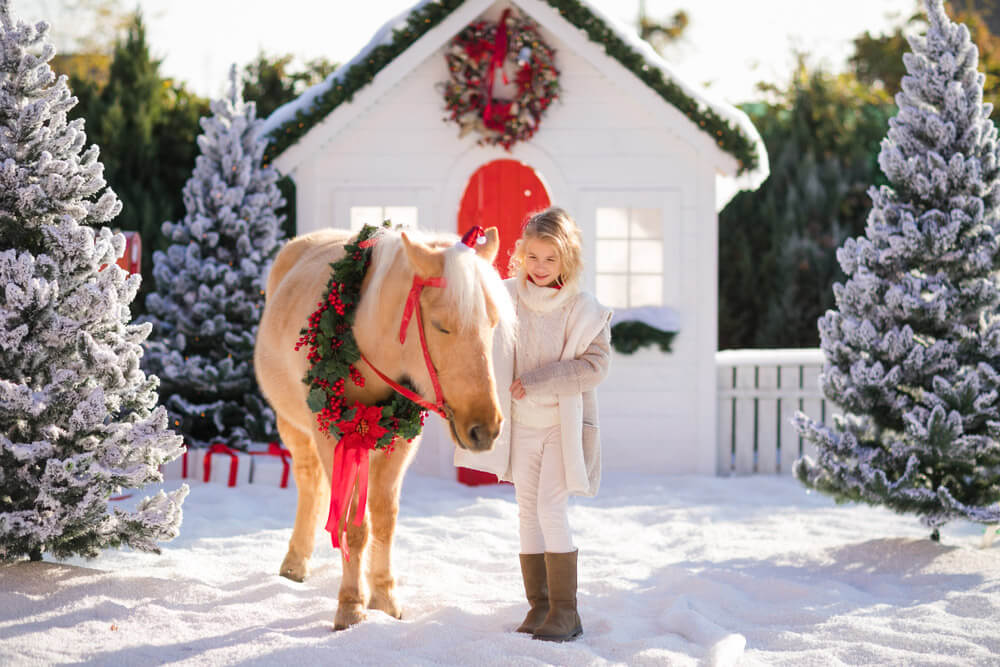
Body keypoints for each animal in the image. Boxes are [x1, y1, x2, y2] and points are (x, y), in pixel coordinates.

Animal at [250, 226, 516, 632]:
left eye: (492, 323)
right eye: (441, 325)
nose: (485, 429)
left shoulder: (401, 442)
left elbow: (384, 520)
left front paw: (385, 599)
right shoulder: (335, 440)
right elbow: (352, 526)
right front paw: (351, 606)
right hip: (292, 426)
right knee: (310, 484)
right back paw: (296, 561)